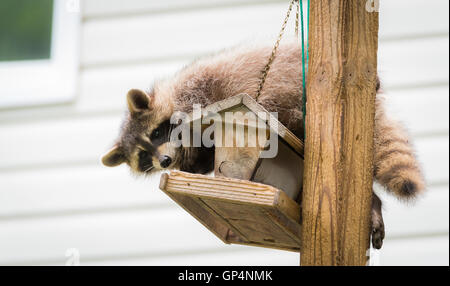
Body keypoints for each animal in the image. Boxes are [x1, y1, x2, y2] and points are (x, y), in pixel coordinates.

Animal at [101, 41, 426, 249]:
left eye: (157, 133)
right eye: (143, 157)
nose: (165, 162)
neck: (171, 93)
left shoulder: (200, 92)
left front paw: (194, 161)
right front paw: (194, 166)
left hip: (290, 84)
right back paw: (374, 203)